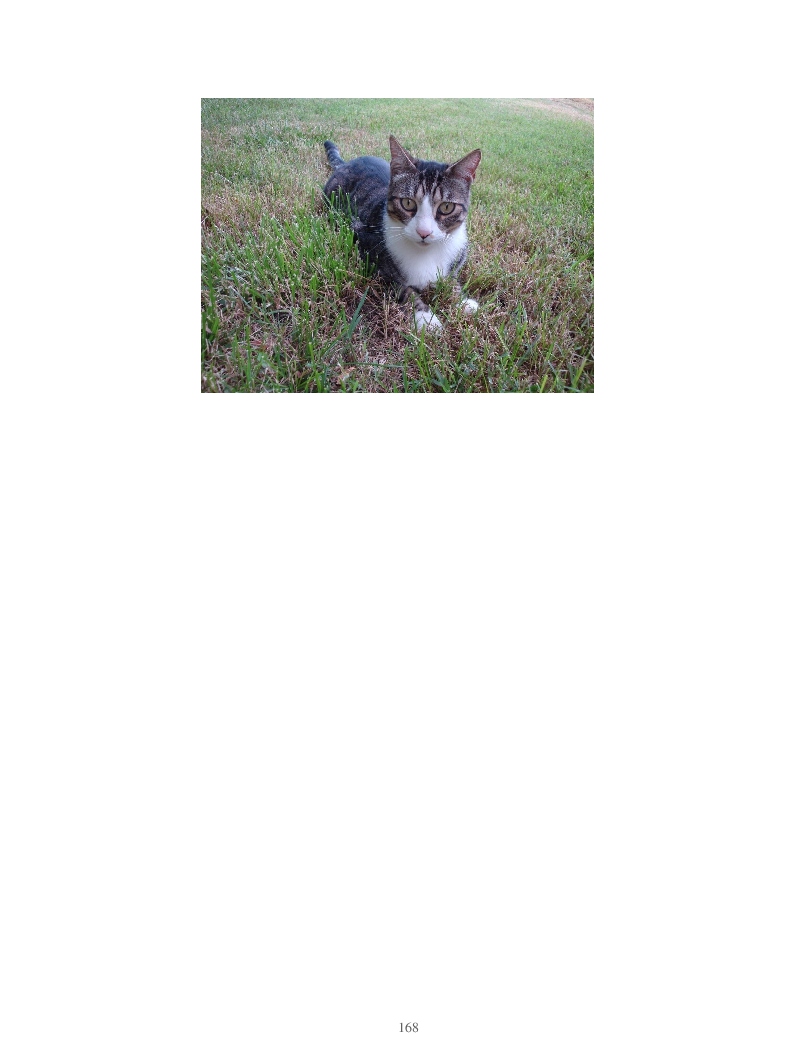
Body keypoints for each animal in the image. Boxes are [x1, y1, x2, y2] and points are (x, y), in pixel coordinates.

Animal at [322, 136, 481, 332]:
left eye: (446, 207)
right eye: (407, 203)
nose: (424, 232)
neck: (426, 253)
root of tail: (346, 163)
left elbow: (451, 280)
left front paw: (462, 301)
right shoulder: (369, 251)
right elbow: (403, 288)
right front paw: (425, 317)